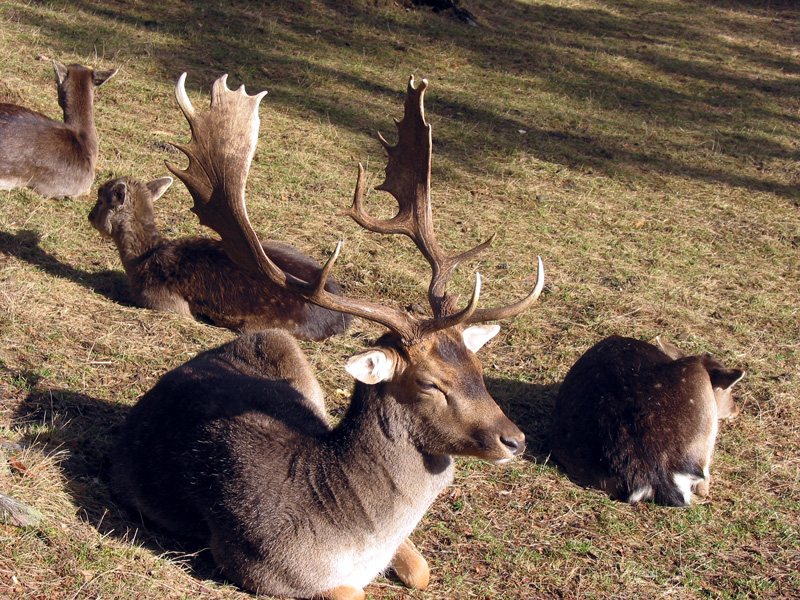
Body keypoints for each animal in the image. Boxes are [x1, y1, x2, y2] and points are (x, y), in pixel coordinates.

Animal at [112, 72, 548, 596]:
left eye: (477, 366)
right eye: (428, 382)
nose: (515, 440)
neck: (356, 537)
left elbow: (421, 572)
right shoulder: (258, 564)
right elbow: (352, 589)